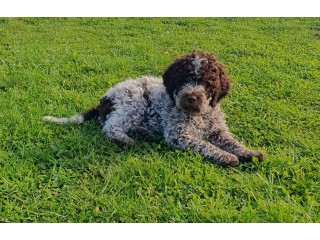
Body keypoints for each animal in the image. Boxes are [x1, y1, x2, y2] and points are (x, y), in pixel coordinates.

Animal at [43, 50, 264, 167]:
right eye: (183, 79)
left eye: (207, 83)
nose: (191, 97)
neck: (199, 115)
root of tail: (104, 100)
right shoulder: (178, 135)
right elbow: (205, 144)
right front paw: (226, 157)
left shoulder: (218, 131)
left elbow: (232, 142)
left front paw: (249, 152)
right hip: (133, 102)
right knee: (111, 127)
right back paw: (125, 140)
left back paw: (143, 134)